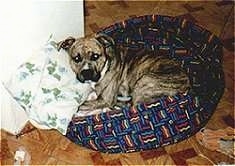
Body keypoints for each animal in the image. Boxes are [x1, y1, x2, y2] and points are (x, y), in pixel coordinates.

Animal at [57, 33, 190, 111]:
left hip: (145, 82)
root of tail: (188, 85)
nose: (86, 73)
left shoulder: (105, 99)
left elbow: (80, 106)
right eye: (76, 58)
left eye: (95, 56)